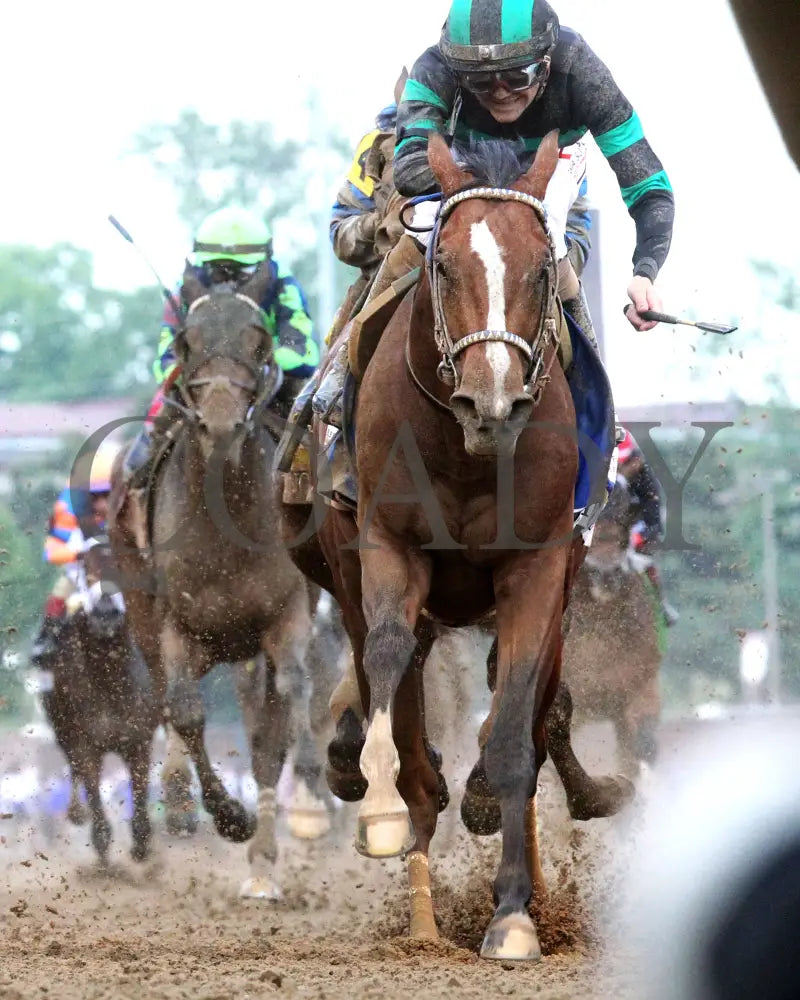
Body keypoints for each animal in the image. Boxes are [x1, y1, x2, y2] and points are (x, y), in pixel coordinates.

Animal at [41, 536, 159, 864]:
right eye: (88, 569)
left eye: (121, 567)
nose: (105, 611)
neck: (108, 682)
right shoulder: (85, 743)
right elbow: (91, 788)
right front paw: (104, 854)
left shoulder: (138, 740)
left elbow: (140, 798)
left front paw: (142, 849)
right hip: (62, 729)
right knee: (74, 770)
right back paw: (76, 812)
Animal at [108, 264, 332, 900]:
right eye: (187, 343)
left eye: (259, 340)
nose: (224, 422)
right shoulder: (174, 626)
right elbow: (184, 712)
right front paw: (226, 815)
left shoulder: (287, 614)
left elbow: (292, 698)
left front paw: (302, 804)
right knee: (172, 706)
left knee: (267, 736)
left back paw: (264, 863)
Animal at [282, 133, 632, 960]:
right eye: (442, 264)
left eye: (540, 268)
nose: (491, 401)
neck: (467, 451)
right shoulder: (385, 548)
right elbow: (387, 667)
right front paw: (383, 813)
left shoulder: (539, 570)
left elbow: (515, 727)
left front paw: (512, 916)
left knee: (530, 709)